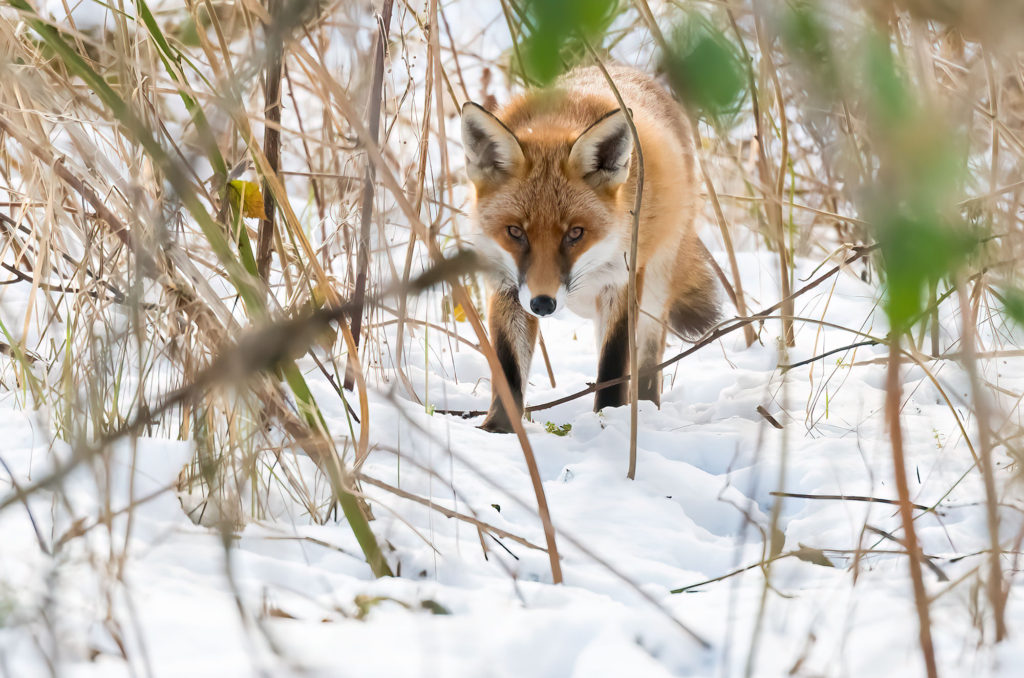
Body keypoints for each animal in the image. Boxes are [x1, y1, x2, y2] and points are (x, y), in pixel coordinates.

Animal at [460, 65, 716, 436]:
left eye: (575, 233)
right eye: (515, 232)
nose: (543, 304)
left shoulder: (621, 282)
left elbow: (612, 366)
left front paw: (607, 422)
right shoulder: (506, 284)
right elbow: (508, 369)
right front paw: (498, 430)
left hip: (654, 289)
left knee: (648, 361)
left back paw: (645, 410)